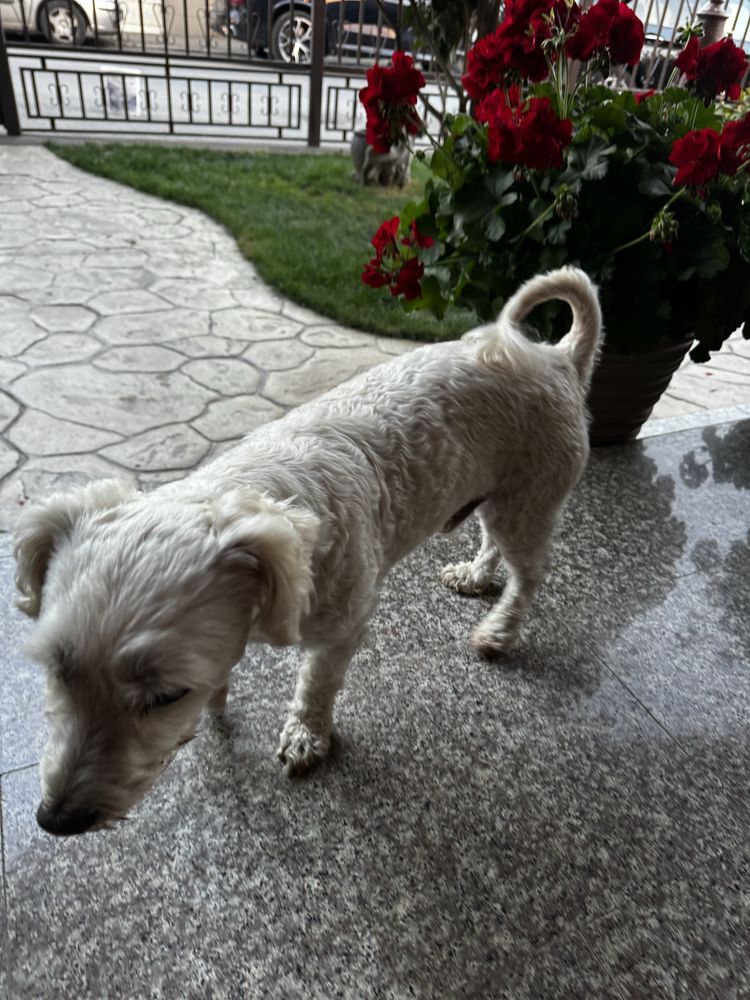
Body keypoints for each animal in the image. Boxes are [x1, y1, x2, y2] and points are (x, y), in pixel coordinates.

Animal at [13, 266, 604, 836]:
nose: (57, 821)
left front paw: (306, 737)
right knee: (492, 543)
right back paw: (476, 576)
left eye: (165, 696)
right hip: (499, 495)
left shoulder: (342, 624)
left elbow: (316, 683)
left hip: (529, 498)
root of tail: (559, 356)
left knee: (529, 574)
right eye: (57, 671)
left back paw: (498, 632)